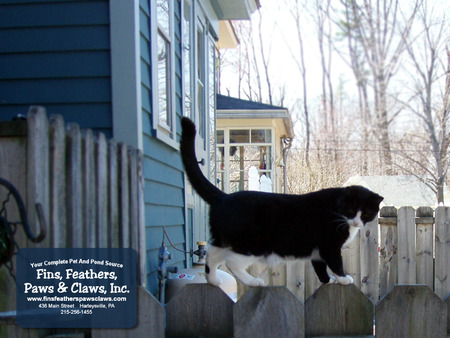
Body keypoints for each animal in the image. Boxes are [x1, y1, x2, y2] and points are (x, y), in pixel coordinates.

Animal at [180, 117, 384, 286]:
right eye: (350, 210)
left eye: (366, 213)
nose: (356, 222)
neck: (338, 211)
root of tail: (225, 196)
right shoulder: (329, 245)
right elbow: (335, 263)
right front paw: (343, 278)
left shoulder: (317, 251)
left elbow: (319, 267)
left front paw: (328, 281)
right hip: (251, 245)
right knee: (231, 262)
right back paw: (254, 281)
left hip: (224, 239)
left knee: (211, 254)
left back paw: (213, 280)